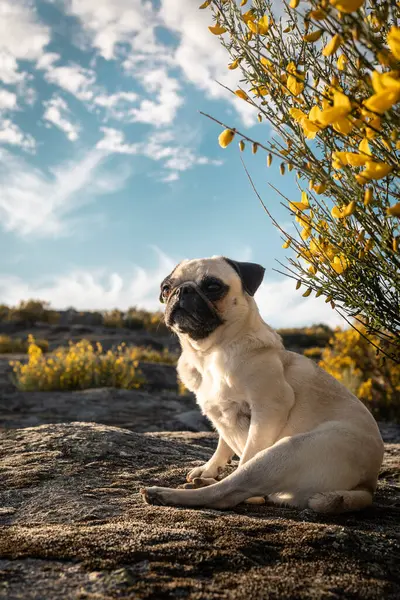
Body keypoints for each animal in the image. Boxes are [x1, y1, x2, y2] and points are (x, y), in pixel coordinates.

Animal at [139, 255, 382, 512]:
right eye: (166, 289)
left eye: (213, 287)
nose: (182, 290)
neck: (210, 353)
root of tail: (367, 486)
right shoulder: (220, 414)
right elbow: (222, 443)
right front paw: (209, 468)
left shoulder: (268, 409)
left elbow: (246, 452)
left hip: (283, 453)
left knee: (230, 491)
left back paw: (165, 493)